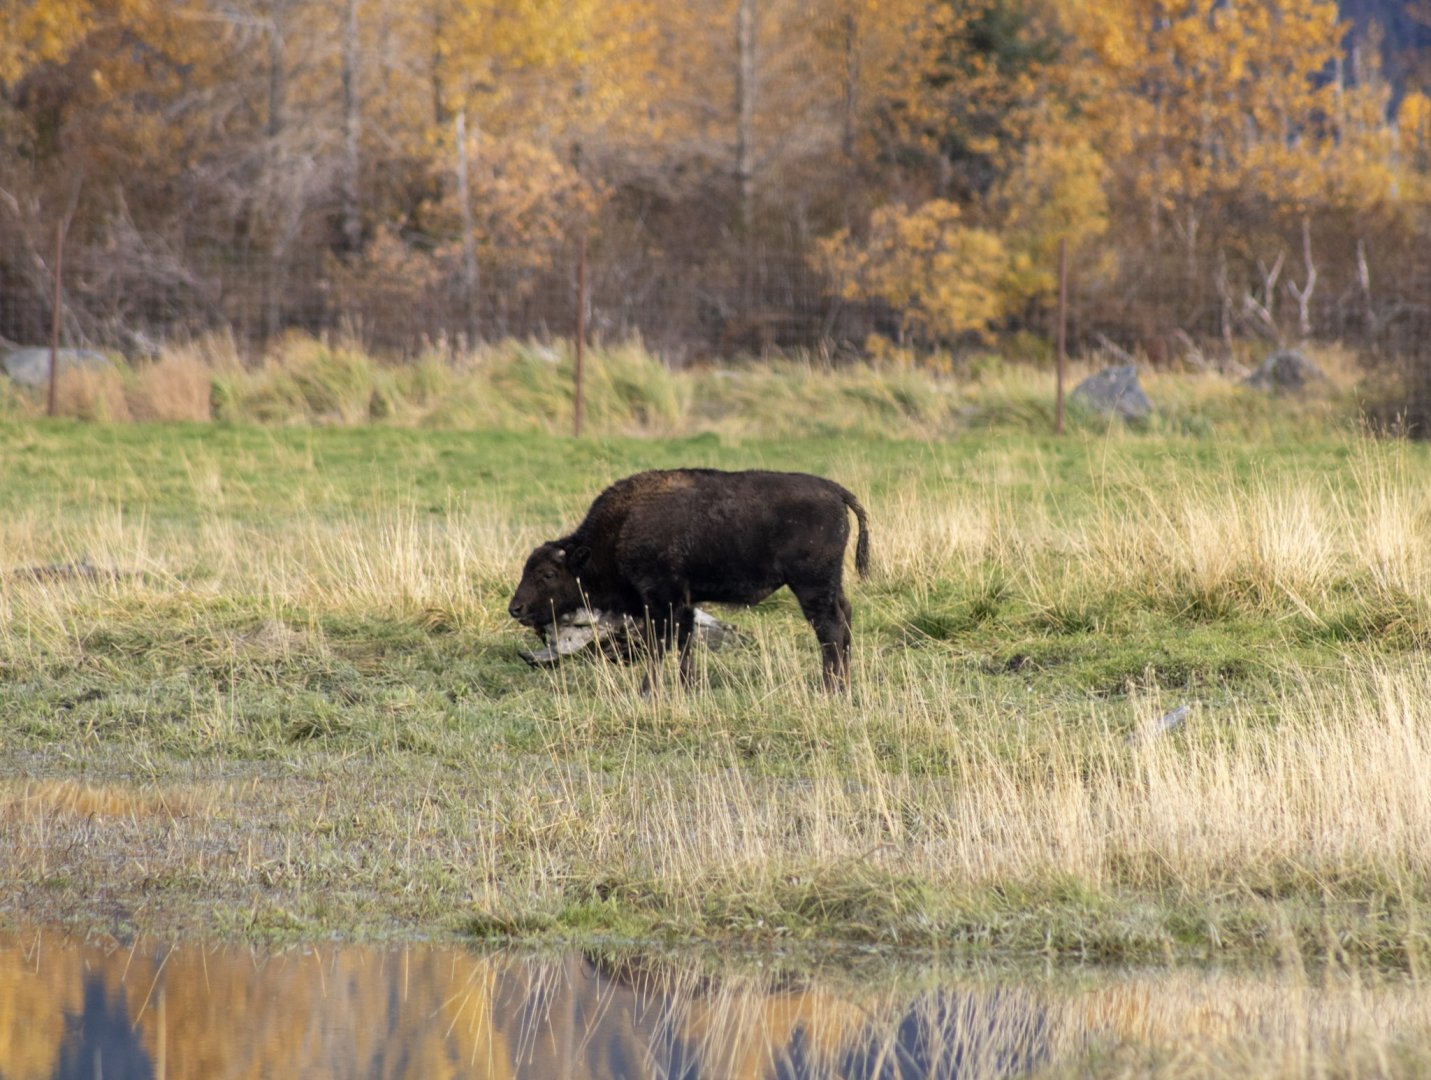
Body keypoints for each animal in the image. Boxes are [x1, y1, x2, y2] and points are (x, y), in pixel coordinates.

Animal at [508, 468, 870, 690]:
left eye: (547, 574)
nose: (516, 609)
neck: (620, 530)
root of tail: (835, 491)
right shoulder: (683, 602)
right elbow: (684, 643)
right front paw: (688, 686)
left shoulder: (660, 601)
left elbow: (660, 646)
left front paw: (649, 691)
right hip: (830, 584)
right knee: (845, 618)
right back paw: (843, 684)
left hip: (811, 586)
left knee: (830, 630)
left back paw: (829, 688)